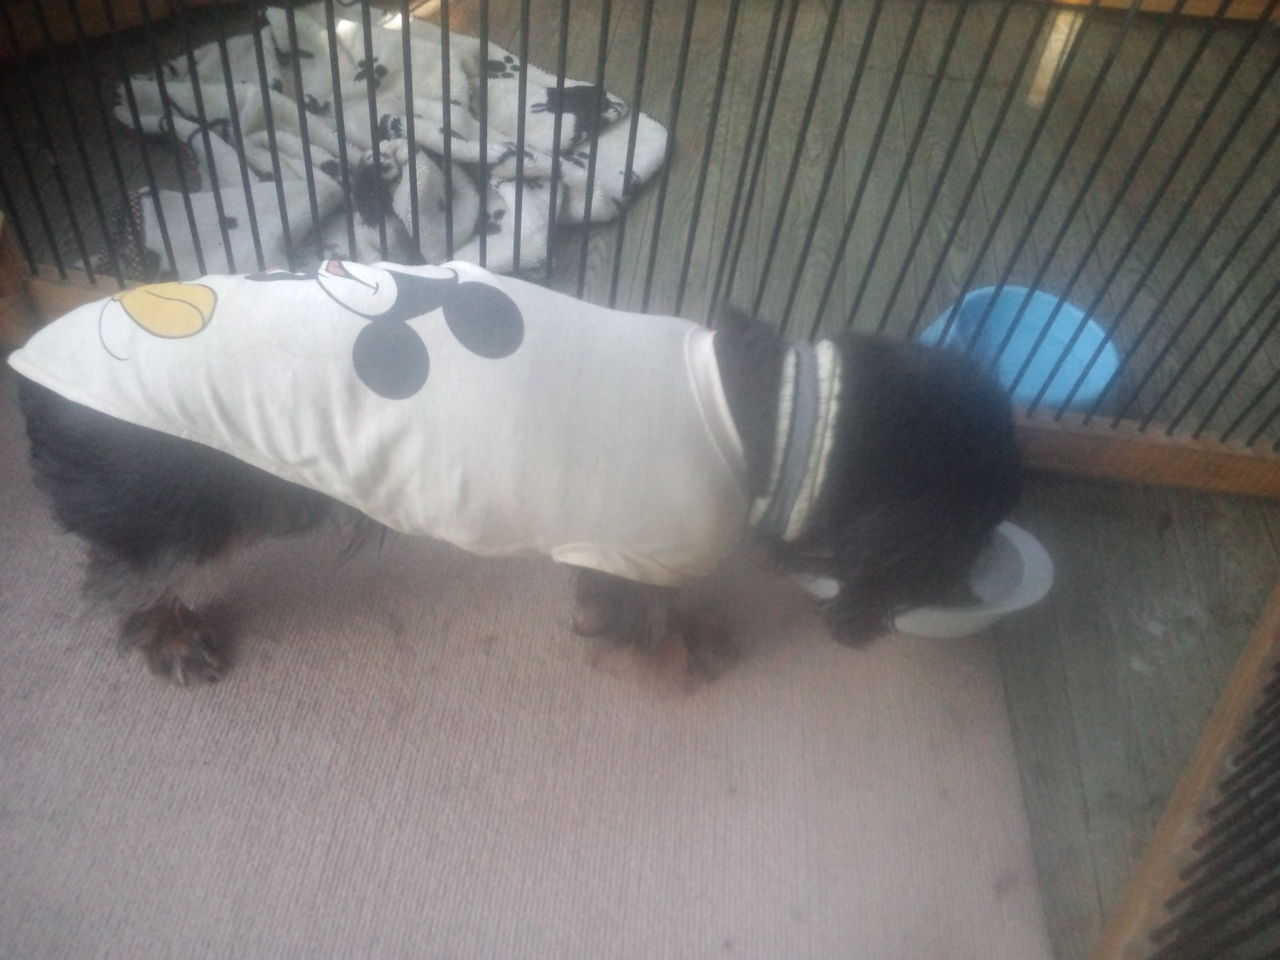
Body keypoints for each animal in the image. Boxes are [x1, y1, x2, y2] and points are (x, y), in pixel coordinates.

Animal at [9, 260, 1020, 685]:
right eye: (970, 533)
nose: (977, 589)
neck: (768, 414)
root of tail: (35, 363)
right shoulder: (637, 555)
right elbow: (648, 621)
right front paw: (684, 655)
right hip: (171, 520)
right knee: (130, 583)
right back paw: (171, 640)